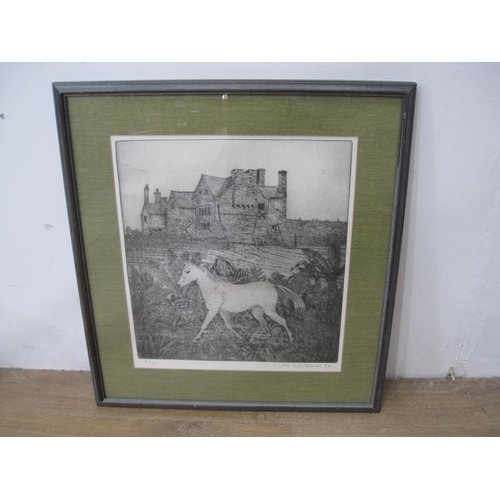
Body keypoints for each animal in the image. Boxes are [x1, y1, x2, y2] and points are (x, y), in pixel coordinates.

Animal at [178, 262, 306, 344]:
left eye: (188, 271)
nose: (179, 284)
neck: (213, 288)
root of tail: (272, 285)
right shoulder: (222, 311)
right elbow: (228, 325)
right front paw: (239, 337)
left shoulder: (213, 310)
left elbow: (205, 324)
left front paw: (196, 338)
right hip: (257, 311)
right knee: (263, 323)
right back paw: (251, 338)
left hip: (269, 310)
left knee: (282, 320)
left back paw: (291, 339)